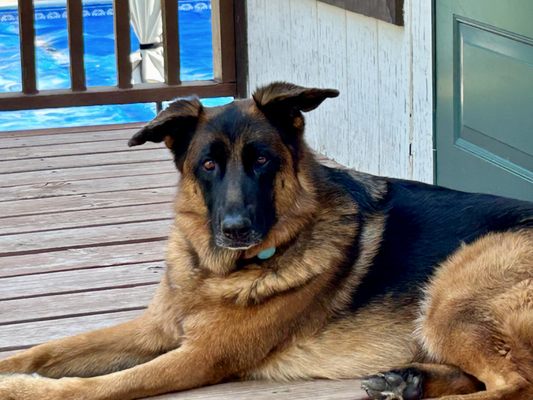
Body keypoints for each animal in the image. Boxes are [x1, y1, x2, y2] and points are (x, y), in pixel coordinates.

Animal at [1, 82, 532, 400]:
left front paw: (22, 389)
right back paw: (409, 381)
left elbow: (90, 387)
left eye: (262, 161)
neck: (218, 272)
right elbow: (46, 350)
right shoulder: (154, 330)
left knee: (514, 385)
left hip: (453, 293)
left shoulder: (200, 356)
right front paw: (12, 366)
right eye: (208, 165)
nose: (236, 230)